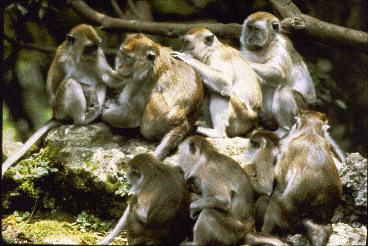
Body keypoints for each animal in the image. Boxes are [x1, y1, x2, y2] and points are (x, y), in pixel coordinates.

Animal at [1, 24, 123, 176]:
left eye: (96, 46)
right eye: (89, 47)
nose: (94, 54)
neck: (79, 57)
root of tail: (55, 114)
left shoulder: (100, 56)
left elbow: (107, 76)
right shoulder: (64, 61)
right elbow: (62, 82)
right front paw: (89, 89)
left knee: (101, 82)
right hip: (61, 108)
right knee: (70, 83)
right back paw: (83, 119)